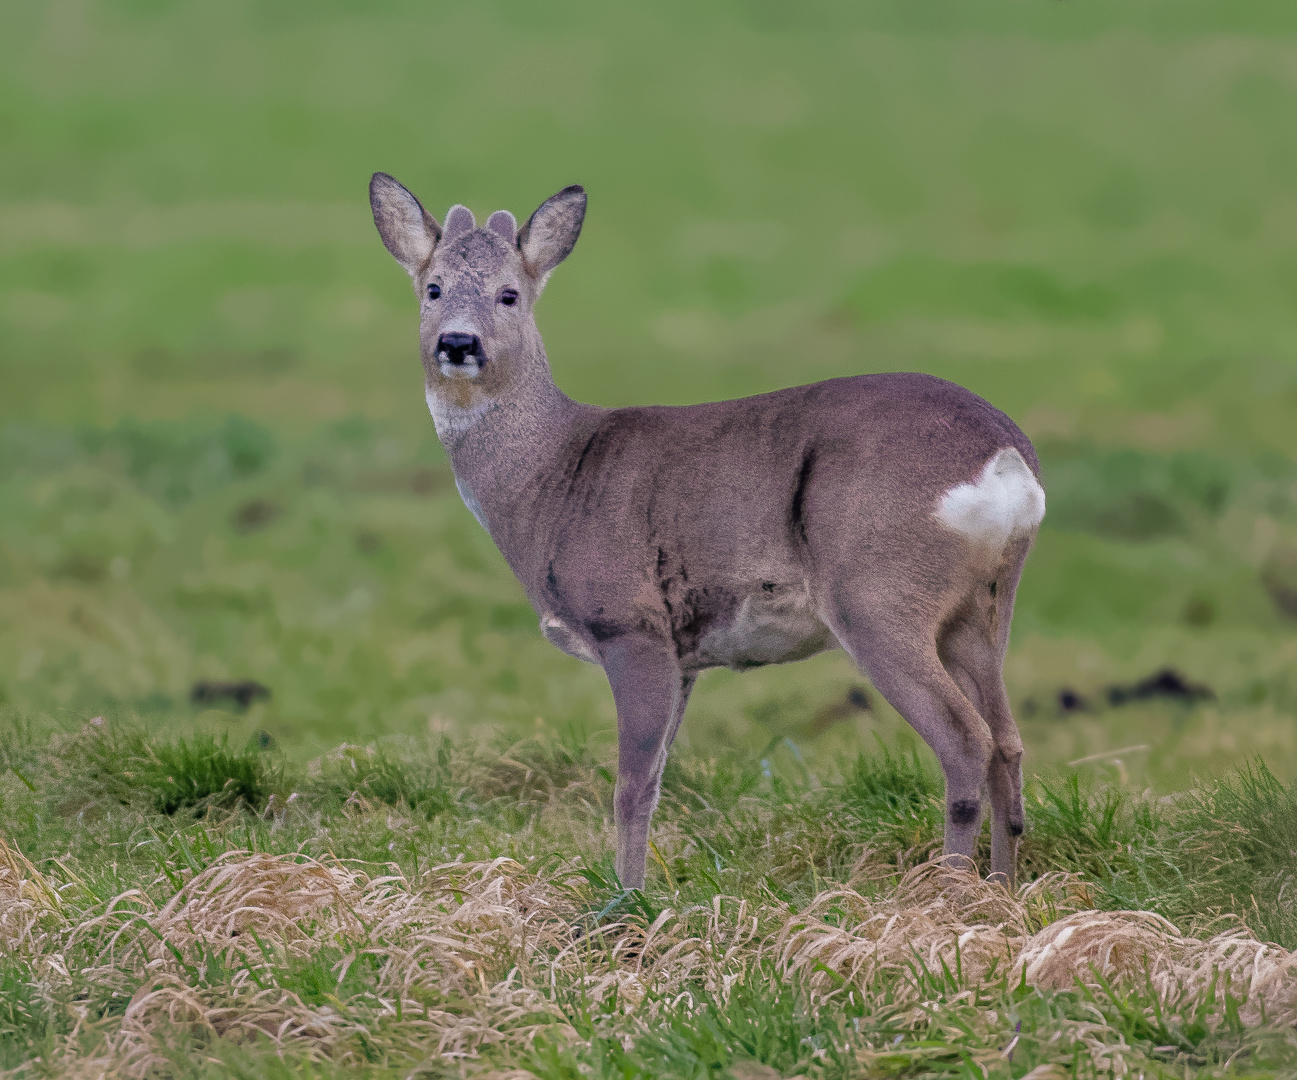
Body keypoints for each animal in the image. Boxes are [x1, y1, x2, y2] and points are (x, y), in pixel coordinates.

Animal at [370, 175, 1047, 886]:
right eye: (432, 288)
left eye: (510, 293)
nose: (458, 344)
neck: (552, 478)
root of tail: (1005, 460)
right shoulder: (686, 653)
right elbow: (657, 779)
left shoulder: (630, 621)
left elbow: (630, 785)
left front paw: (627, 899)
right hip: (982, 609)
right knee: (1007, 740)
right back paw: (1000, 890)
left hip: (877, 593)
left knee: (965, 739)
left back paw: (948, 893)